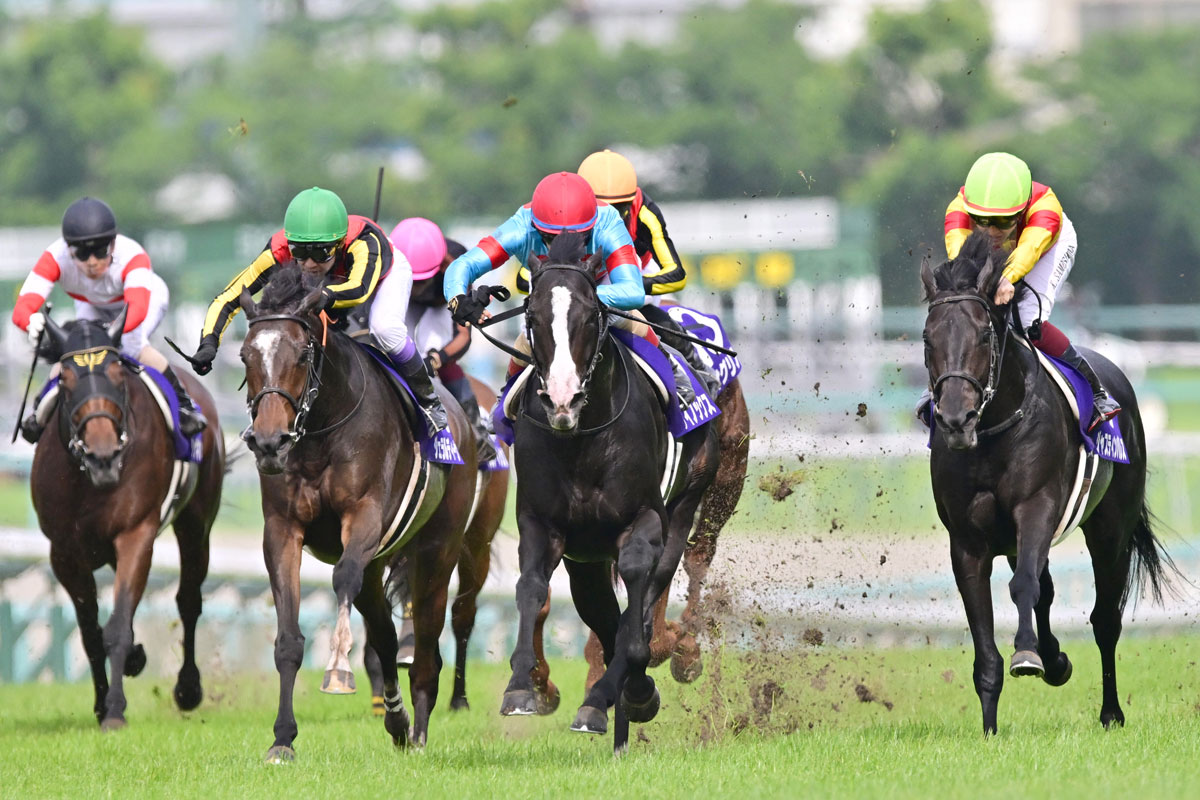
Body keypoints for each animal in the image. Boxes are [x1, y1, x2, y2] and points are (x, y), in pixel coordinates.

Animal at [30, 313, 224, 729]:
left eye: (118, 372)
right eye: (65, 378)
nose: (103, 455)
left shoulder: (136, 534)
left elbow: (118, 626)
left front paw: (116, 709)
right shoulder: (64, 552)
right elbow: (91, 631)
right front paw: (103, 702)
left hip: (196, 523)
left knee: (188, 599)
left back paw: (188, 689)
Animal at [236, 265, 475, 761]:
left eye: (301, 354)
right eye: (246, 355)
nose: (269, 443)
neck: (321, 429)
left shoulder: (364, 517)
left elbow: (342, 577)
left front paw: (337, 670)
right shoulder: (282, 530)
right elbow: (288, 641)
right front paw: (282, 739)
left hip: (438, 551)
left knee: (425, 645)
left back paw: (418, 731)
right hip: (381, 561)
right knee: (384, 634)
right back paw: (397, 720)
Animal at [499, 232, 719, 753]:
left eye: (589, 316)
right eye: (533, 318)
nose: (562, 400)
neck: (581, 438)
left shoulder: (645, 518)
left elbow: (636, 599)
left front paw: (623, 693)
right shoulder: (542, 524)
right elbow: (530, 586)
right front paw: (520, 687)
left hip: (685, 503)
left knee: (645, 597)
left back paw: (618, 695)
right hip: (586, 556)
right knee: (600, 609)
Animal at [921, 231, 1174, 734]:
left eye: (984, 334)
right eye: (926, 336)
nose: (956, 420)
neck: (994, 429)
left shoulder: (1036, 507)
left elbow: (1023, 586)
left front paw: (1028, 656)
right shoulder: (968, 541)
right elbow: (987, 633)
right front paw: (990, 728)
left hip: (1110, 532)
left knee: (1104, 620)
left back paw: (1110, 711)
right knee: (1047, 585)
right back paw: (1056, 659)